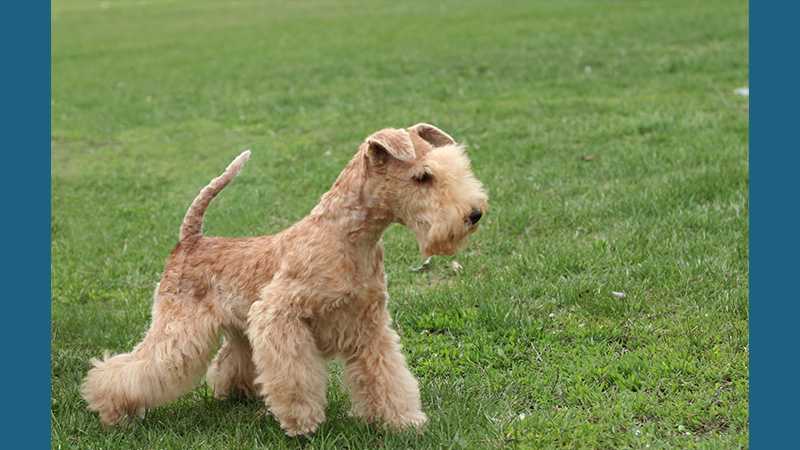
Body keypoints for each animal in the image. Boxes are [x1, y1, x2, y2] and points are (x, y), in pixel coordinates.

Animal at [84, 123, 490, 436]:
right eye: (423, 176)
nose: (474, 214)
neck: (347, 237)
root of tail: (190, 240)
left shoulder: (370, 326)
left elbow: (386, 377)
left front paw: (403, 421)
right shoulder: (279, 315)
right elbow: (297, 376)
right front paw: (302, 422)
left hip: (239, 328)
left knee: (228, 362)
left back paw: (238, 394)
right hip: (178, 328)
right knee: (129, 368)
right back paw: (113, 410)